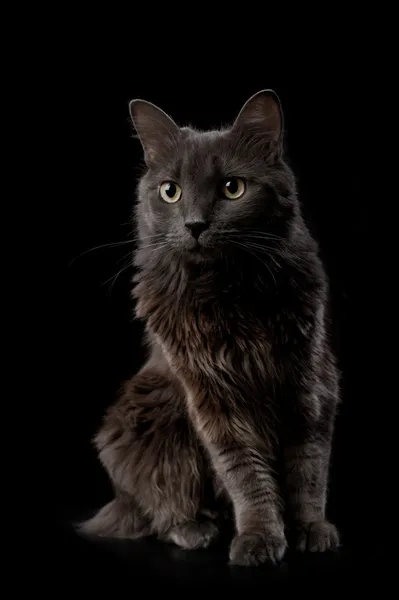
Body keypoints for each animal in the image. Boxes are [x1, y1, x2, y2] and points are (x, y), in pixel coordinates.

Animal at [80, 89, 340, 568]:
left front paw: (310, 529)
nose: (195, 225)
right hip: (145, 422)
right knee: (161, 507)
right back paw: (198, 528)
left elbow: (308, 468)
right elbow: (246, 475)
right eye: (170, 191)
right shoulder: (213, 400)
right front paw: (259, 536)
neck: (229, 295)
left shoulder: (309, 383)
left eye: (232, 188)